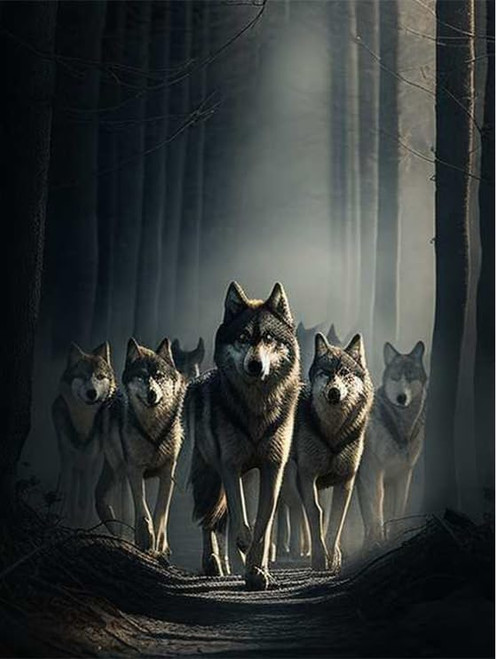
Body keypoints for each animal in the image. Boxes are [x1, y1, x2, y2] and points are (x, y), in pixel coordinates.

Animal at [53, 342, 116, 527]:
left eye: (100, 377)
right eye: (82, 376)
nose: (92, 393)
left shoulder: (91, 462)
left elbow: (86, 501)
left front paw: (83, 524)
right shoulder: (66, 458)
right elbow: (66, 493)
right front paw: (59, 517)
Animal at [96, 337, 186, 555]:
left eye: (159, 376)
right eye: (142, 376)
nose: (152, 394)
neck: (153, 432)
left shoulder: (168, 472)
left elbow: (160, 512)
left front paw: (160, 545)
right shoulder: (135, 470)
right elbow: (143, 511)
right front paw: (145, 539)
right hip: (121, 471)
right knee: (126, 508)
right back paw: (125, 537)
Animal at [188, 281, 301, 590]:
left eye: (269, 338)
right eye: (243, 337)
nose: (255, 365)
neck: (257, 411)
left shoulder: (272, 468)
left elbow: (263, 523)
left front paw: (257, 569)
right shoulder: (230, 466)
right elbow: (241, 521)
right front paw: (245, 552)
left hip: (249, 477)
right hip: (212, 473)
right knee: (211, 518)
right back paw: (213, 563)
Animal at [286, 332, 373, 573]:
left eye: (344, 373)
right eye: (326, 373)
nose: (334, 392)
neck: (333, 433)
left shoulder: (346, 480)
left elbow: (334, 520)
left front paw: (333, 558)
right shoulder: (307, 476)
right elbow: (315, 513)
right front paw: (318, 558)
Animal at [357, 341, 427, 548]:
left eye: (410, 377)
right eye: (395, 377)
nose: (401, 397)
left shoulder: (403, 473)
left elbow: (397, 508)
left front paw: (395, 535)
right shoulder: (374, 472)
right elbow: (376, 509)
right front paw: (377, 541)